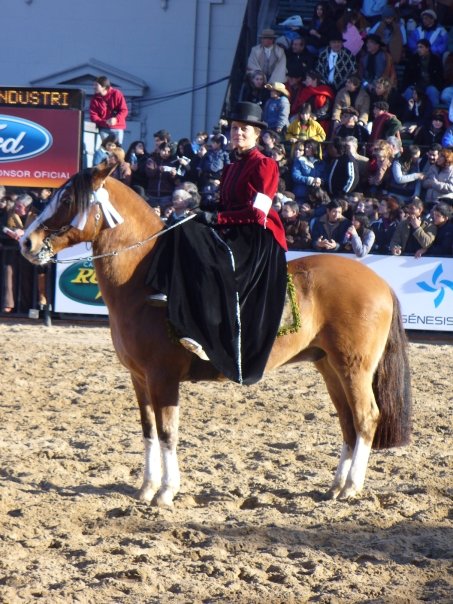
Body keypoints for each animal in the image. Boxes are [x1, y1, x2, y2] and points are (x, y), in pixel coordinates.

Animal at [20, 160, 410, 504]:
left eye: (67, 201)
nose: (26, 242)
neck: (145, 278)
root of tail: (380, 282)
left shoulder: (162, 377)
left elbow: (168, 432)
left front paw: (166, 492)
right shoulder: (139, 378)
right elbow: (149, 431)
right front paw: (147, 488)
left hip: (353, 368)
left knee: (366, 418)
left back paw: (351, 488)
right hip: (329, 366)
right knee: (348, 421)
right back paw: (336, 486)